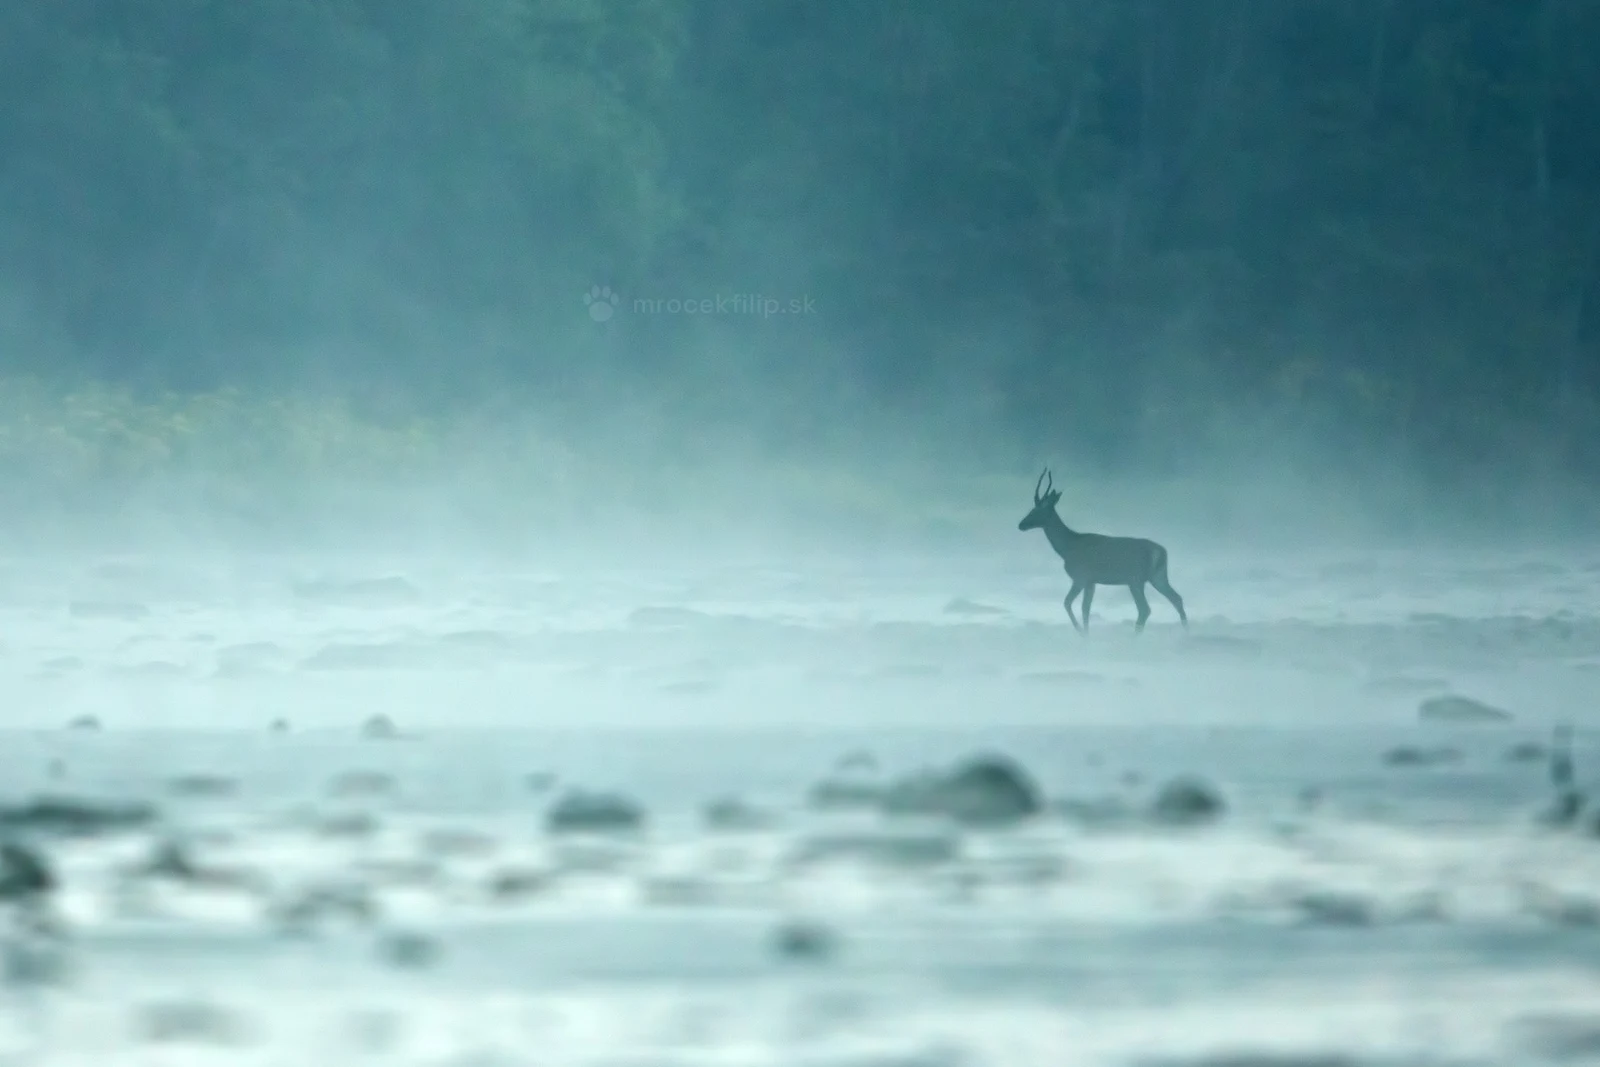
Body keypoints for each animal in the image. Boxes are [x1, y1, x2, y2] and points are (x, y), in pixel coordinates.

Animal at [1018, 468, 1187, 634]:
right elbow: (1085, 608)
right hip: (1158, 577)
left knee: (1145, 609)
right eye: (1032, 508)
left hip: (1135, 579)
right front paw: (1086, 634)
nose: (1021, 524)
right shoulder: (1091, 582)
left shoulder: (1080, 577)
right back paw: (1185, 631)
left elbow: (1068, 603)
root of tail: (1161, 552)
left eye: (1039, 509)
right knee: (1176, 598)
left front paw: (1081, 631)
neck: (1067, 548)